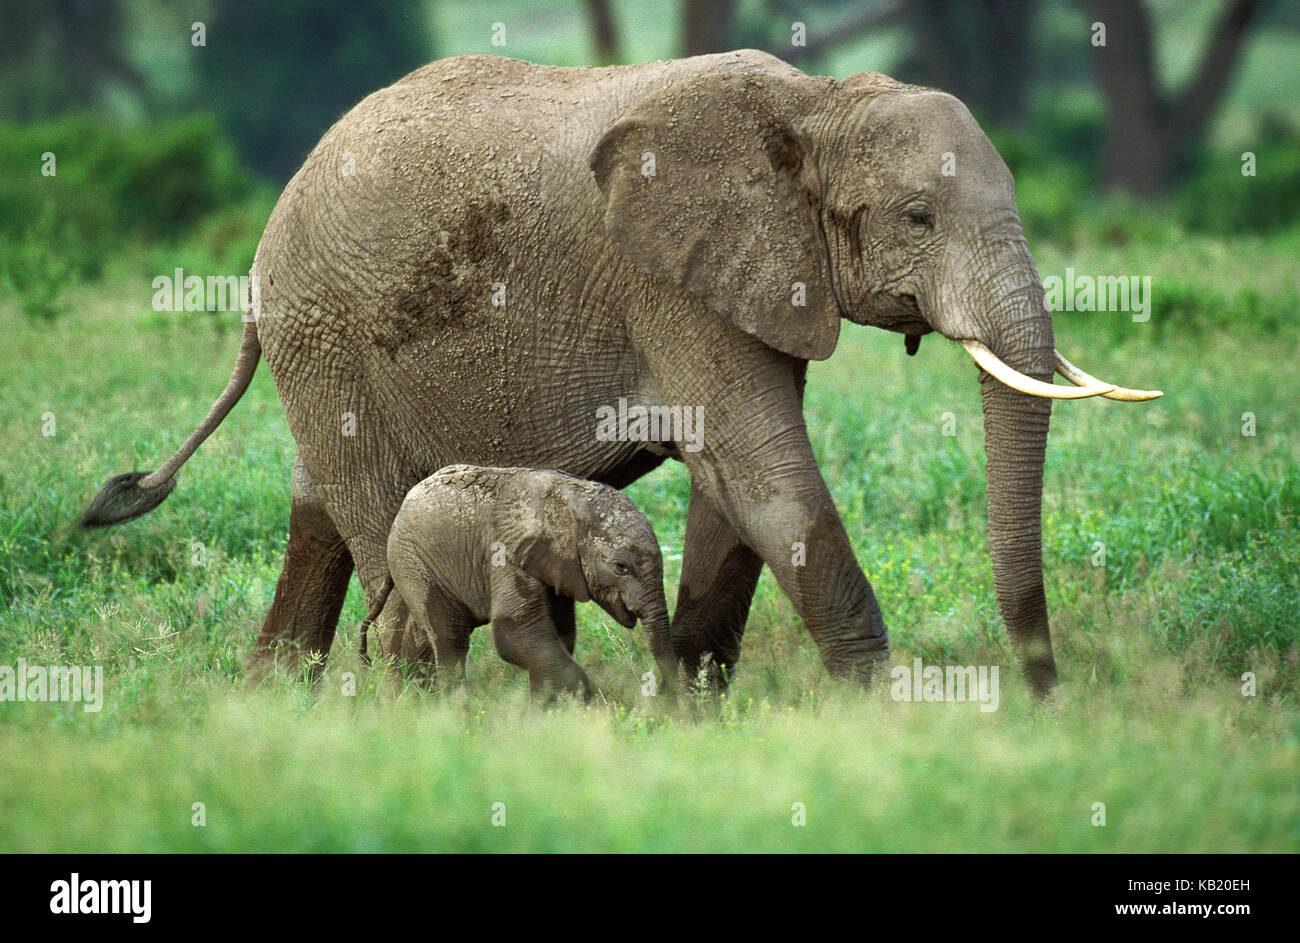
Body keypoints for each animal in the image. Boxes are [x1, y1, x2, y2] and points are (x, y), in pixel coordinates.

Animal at [361, 465, 676, 697]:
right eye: (621, 567)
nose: (667, 699)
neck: (573, 498)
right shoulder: (505, 553)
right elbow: (514, 633)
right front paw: (581, 699)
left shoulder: (557, 564)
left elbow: (559, 634)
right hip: (412, 559)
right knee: (450, 638)